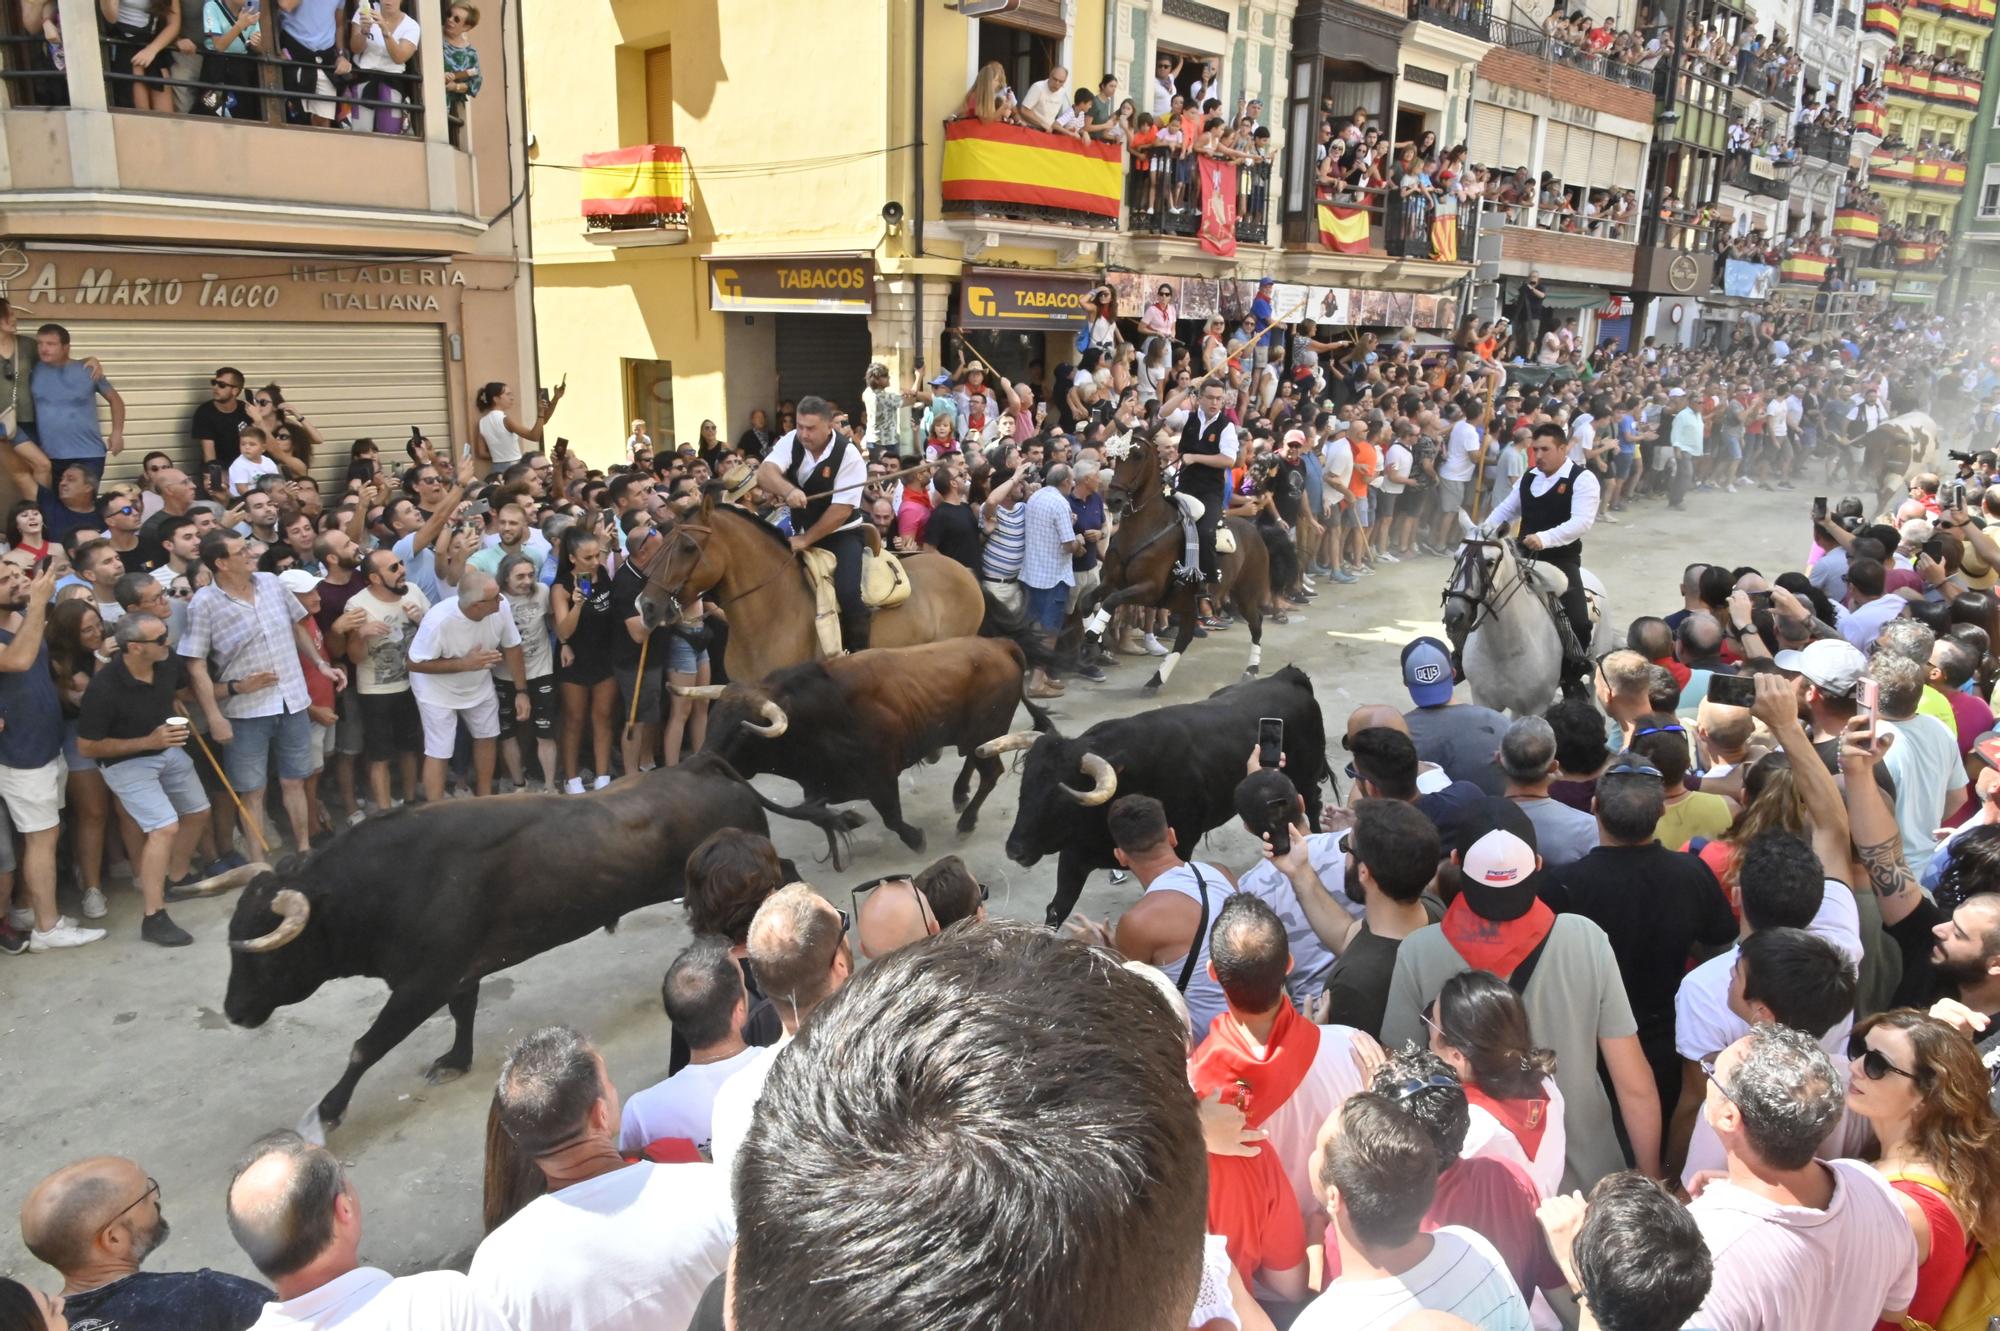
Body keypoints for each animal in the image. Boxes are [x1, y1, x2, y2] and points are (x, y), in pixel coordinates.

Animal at [221, 751, 860, 1127]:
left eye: (265, 953)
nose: (233, 1012)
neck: (378, 886)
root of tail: (703, 764)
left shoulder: (420, 983)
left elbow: (365, 1045)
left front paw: (328, 1111)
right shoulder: (457, 971)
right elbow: (463, 1011)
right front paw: (455, 1060)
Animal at [988, 659, 1328, 923]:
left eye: (1061, 797)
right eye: (1025, 788)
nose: (1015, 849)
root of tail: (1287, 678)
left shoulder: (1179, 846)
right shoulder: (1074, 855)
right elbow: (1057, 908)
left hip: (1305, 776)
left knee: (1312, 805)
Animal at [1088, 427, 1272, 695]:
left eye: (1138, 456)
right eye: (1114, 457)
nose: (1113, 500)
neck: (1144, 527)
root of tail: (1253, 531)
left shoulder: (1148, 589)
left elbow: (1111, 601)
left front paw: (1093, 634)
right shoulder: (1113, 582)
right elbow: (1087, 601)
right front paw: (1093, 636)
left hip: (1246, 593)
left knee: (1256, 625)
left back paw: (1251, 670)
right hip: (1186, 601)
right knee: (1185, 636)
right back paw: (1155, 680)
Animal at [1440, 507, 1608, 715]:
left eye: (1489, 562)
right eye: (1456, 557)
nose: (1454, 615)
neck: (1503, 651)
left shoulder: (1534, 707)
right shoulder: (1484, 700)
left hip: (1594, 663)